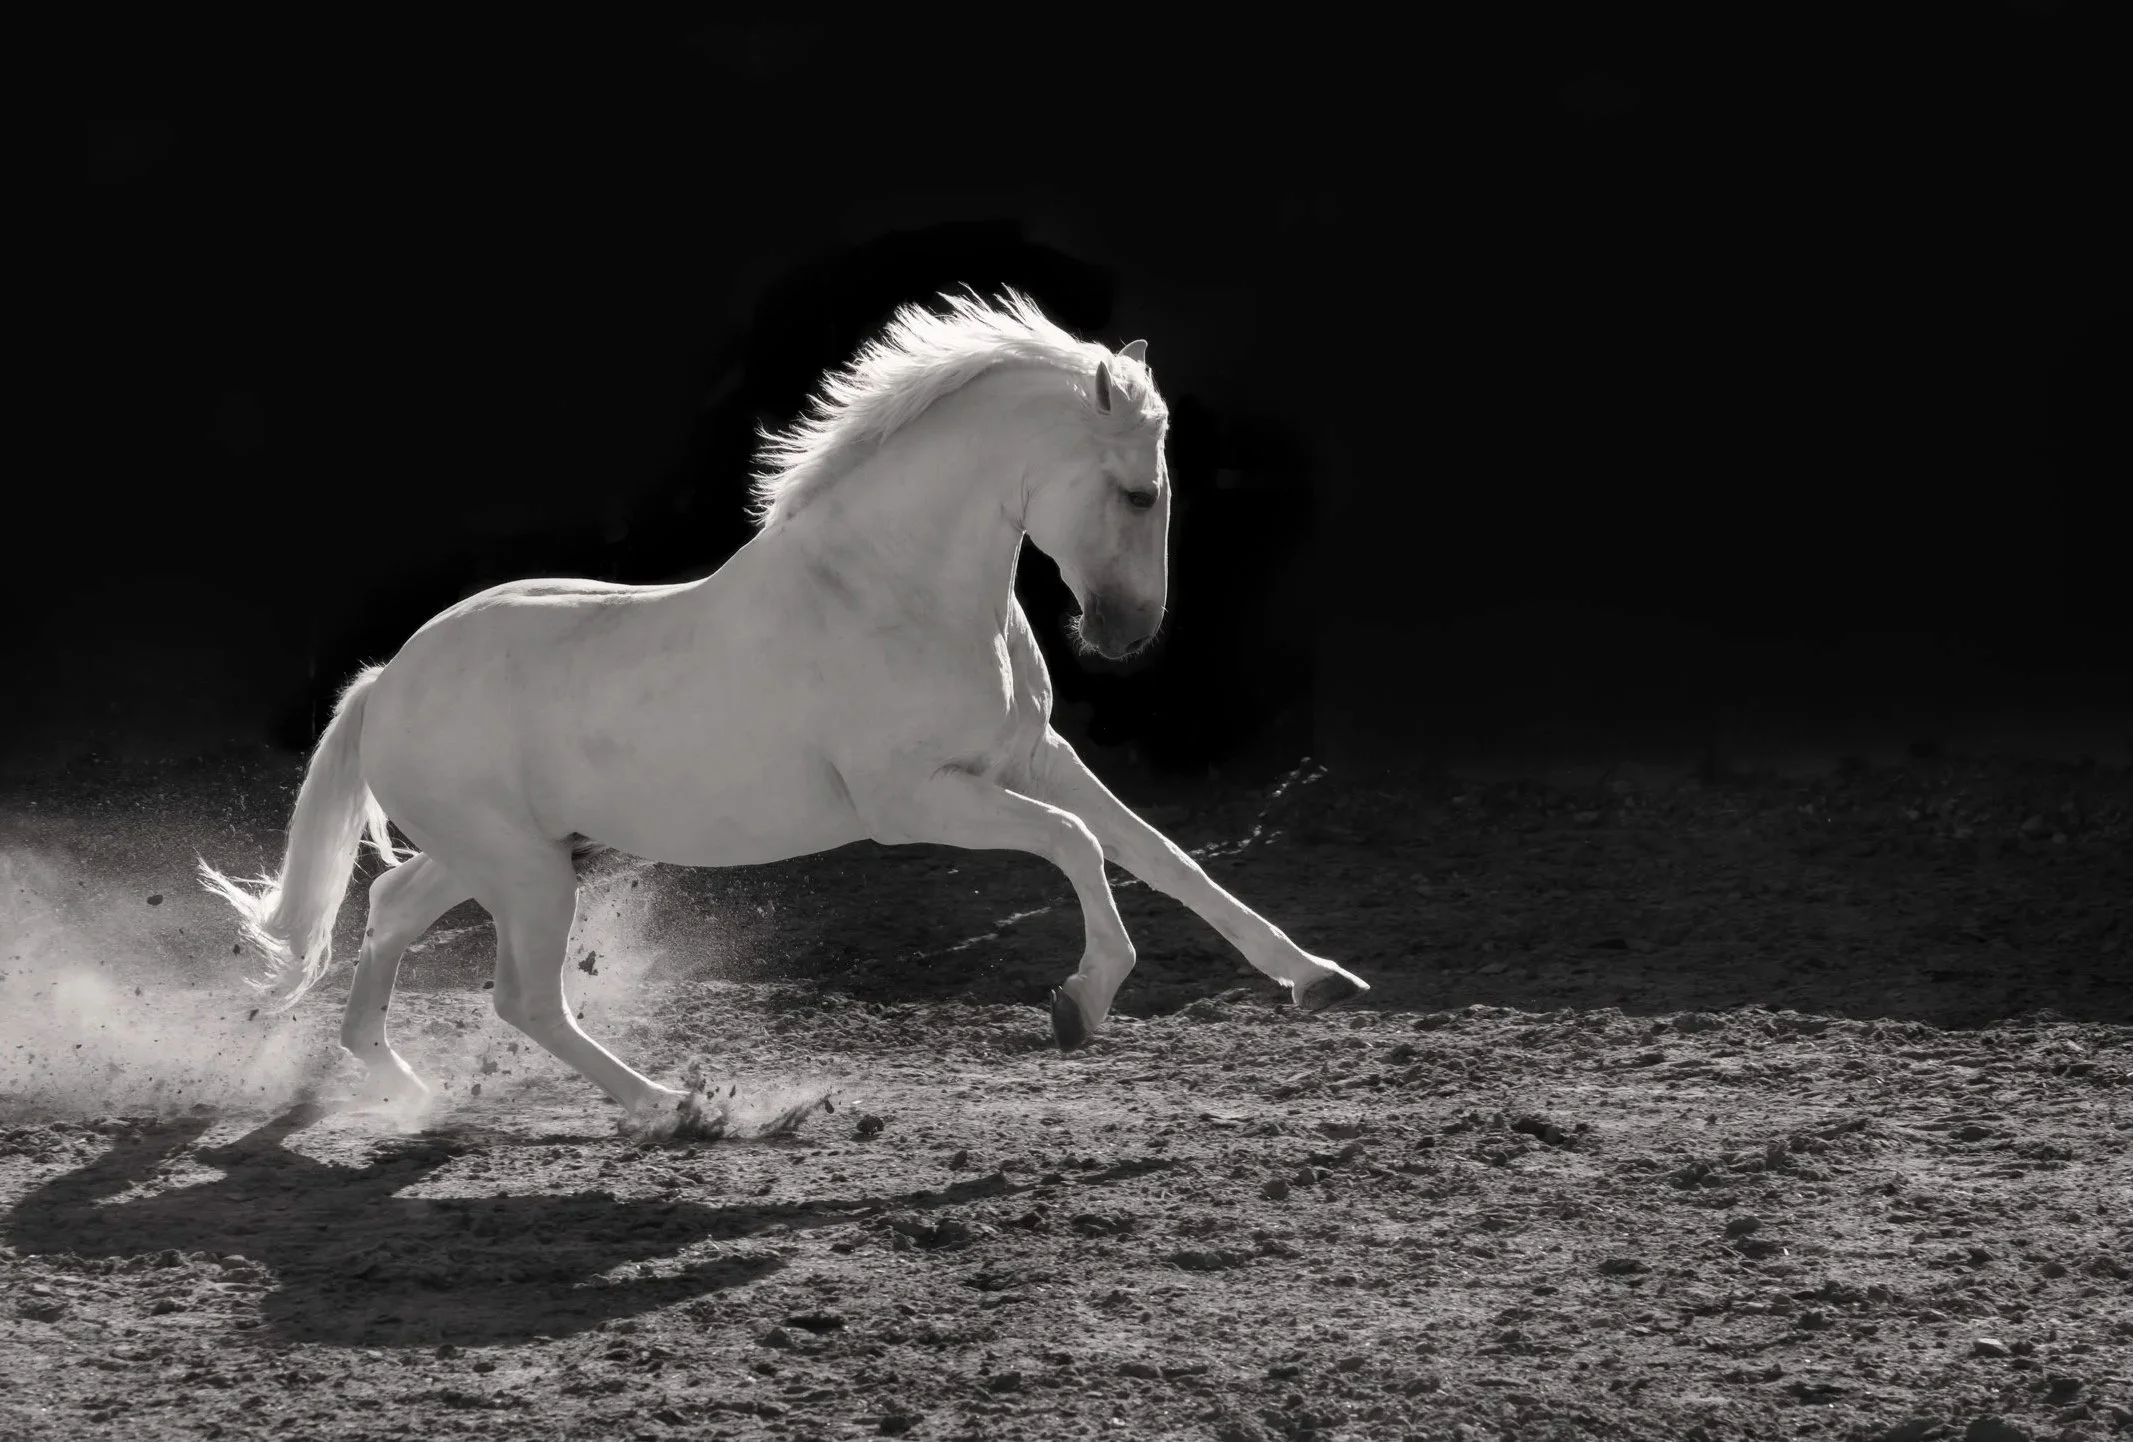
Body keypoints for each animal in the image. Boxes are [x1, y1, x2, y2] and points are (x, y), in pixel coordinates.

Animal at [199, 290, 1369, 1128]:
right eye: (1138, 492)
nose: (1124, 636)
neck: (895, 591)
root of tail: (385, 681)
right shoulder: (918, 801)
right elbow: (1081, 847)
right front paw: (1081, 1003)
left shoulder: (1029, 757)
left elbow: (1164, 855)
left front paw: (1319, 978)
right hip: (521, 868)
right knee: (522, 997)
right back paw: (676, 1107)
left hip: (508, 852)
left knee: (394, 905)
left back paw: (402, 1084)